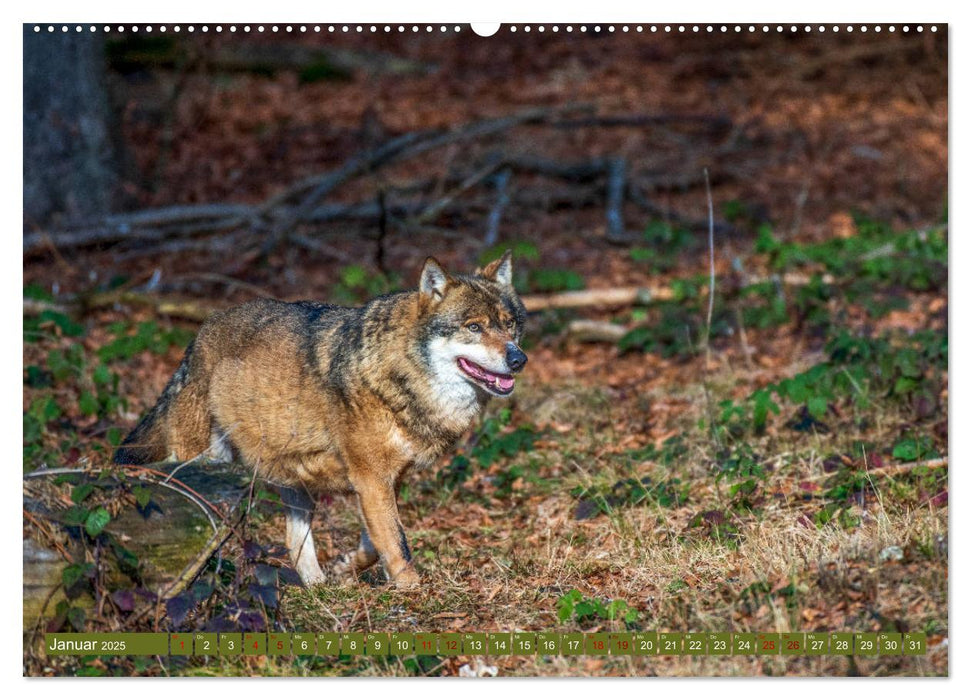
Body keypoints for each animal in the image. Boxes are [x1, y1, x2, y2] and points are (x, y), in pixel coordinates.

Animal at [114, 252, 528, 584]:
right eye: (474, 327)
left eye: (510, 324)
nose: (518, 358)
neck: (400, 375)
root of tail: (197, 337)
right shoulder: (371, 479)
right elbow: (397, 542)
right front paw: (414, 591)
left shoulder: (384, 480)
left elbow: (374, 543)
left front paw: (347, 566)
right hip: (207, 468)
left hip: (292, 480)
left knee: (293, 540)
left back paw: (317, 589)